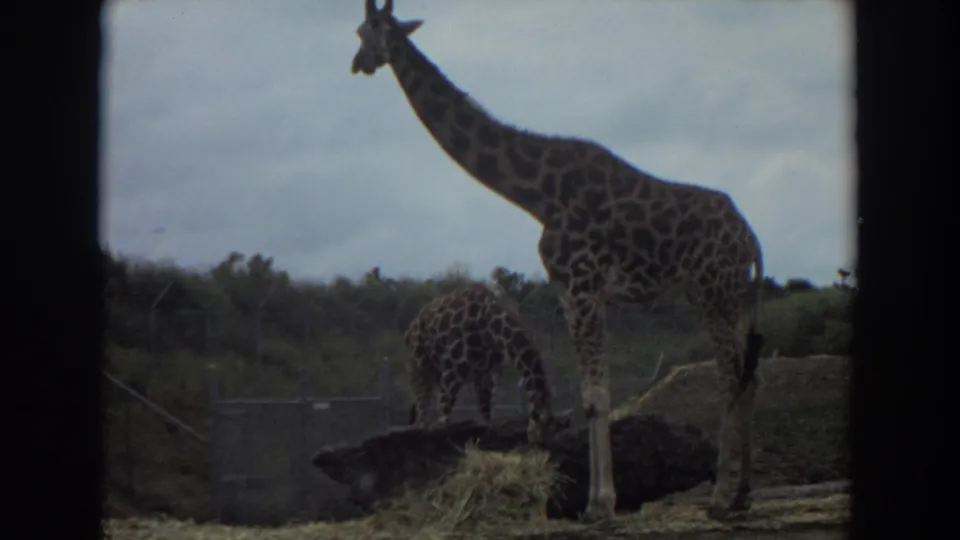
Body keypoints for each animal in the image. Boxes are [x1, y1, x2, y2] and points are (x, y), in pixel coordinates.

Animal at [404, 283, 570, 446]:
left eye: (552, 433)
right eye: (540, 426)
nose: (535, 442)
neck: (491, 328)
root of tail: (412, 326)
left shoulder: (486, 374)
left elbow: (487, 417)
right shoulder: (452, 371)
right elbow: (445, 417)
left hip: (436, 373)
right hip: (420, 367)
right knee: (422, 407)